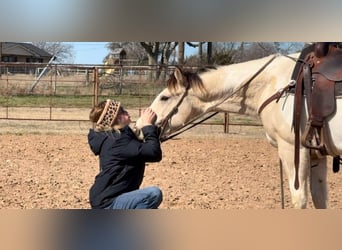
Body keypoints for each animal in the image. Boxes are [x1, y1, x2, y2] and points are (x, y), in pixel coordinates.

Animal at [136, 43, 342, 209]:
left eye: (164, 97)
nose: (138, 126)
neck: (276, 84)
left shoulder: (293, 149)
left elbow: (300, 200)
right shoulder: (316, 154)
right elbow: (320, 199)